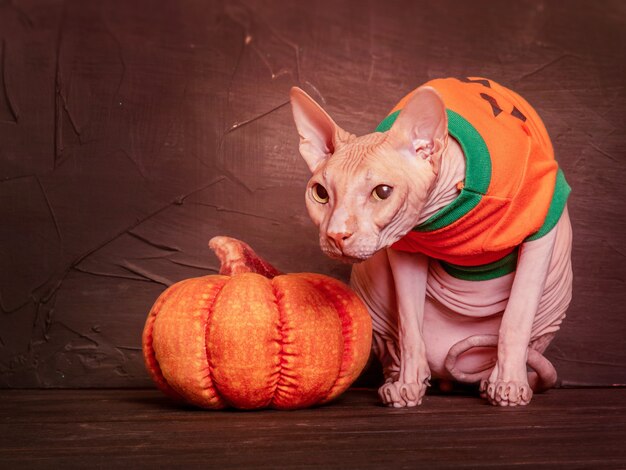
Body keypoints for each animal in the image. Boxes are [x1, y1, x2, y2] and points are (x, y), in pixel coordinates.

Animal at [288, 77, 572, 408]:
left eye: (382, 192)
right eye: (320, 194)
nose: (336, 234)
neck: (445, 203)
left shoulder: (543, 218)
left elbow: (515, 318)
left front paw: (511, 383)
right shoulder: (405, 245)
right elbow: (410, 326)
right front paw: (408, 384)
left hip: (555, 295)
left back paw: (495, 380)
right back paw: (399, 380)